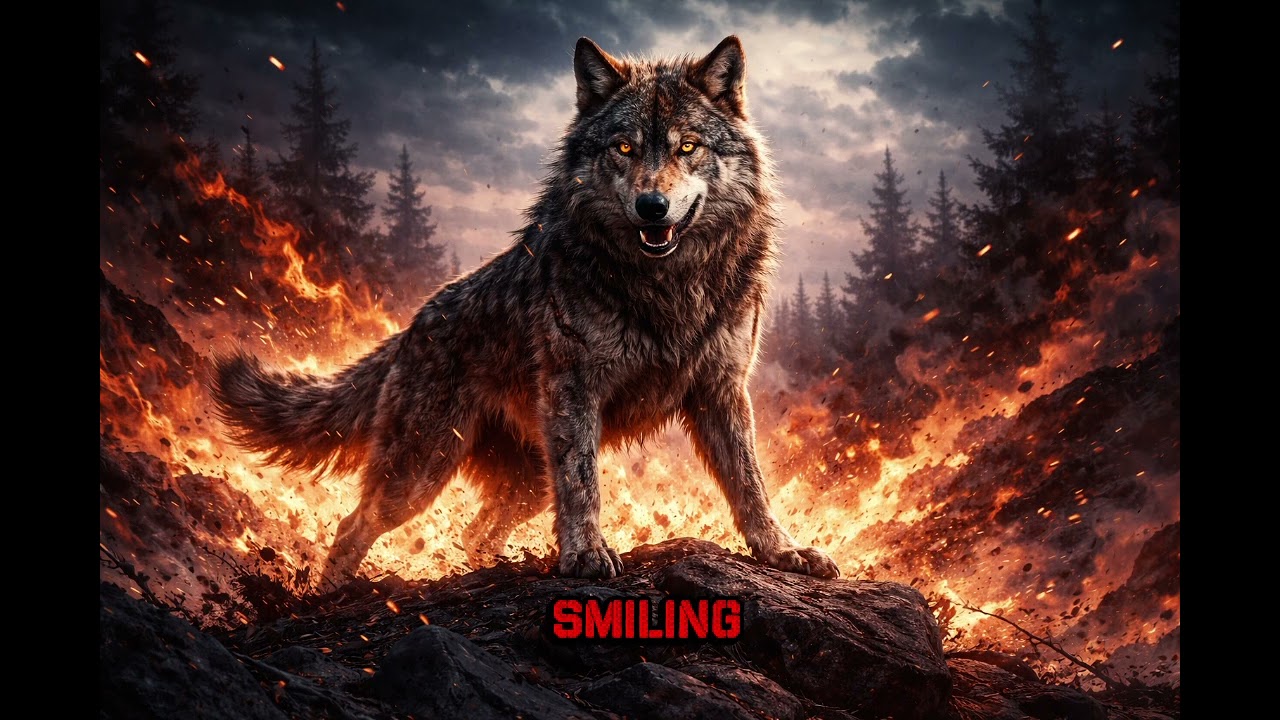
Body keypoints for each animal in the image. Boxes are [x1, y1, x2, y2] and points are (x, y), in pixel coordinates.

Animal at [212, 35, 840, 588]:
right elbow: (584, 484)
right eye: (625, 148)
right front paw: (586, 555)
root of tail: (412, 325)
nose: (652, 206)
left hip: (525, 481)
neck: (667, 285)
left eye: (688, 147)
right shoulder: (574, 386)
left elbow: (751, 484)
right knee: (353, 524)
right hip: (421, 471)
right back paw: (331, 595)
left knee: (474, 533)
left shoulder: (721, 389)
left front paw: (782, 552)